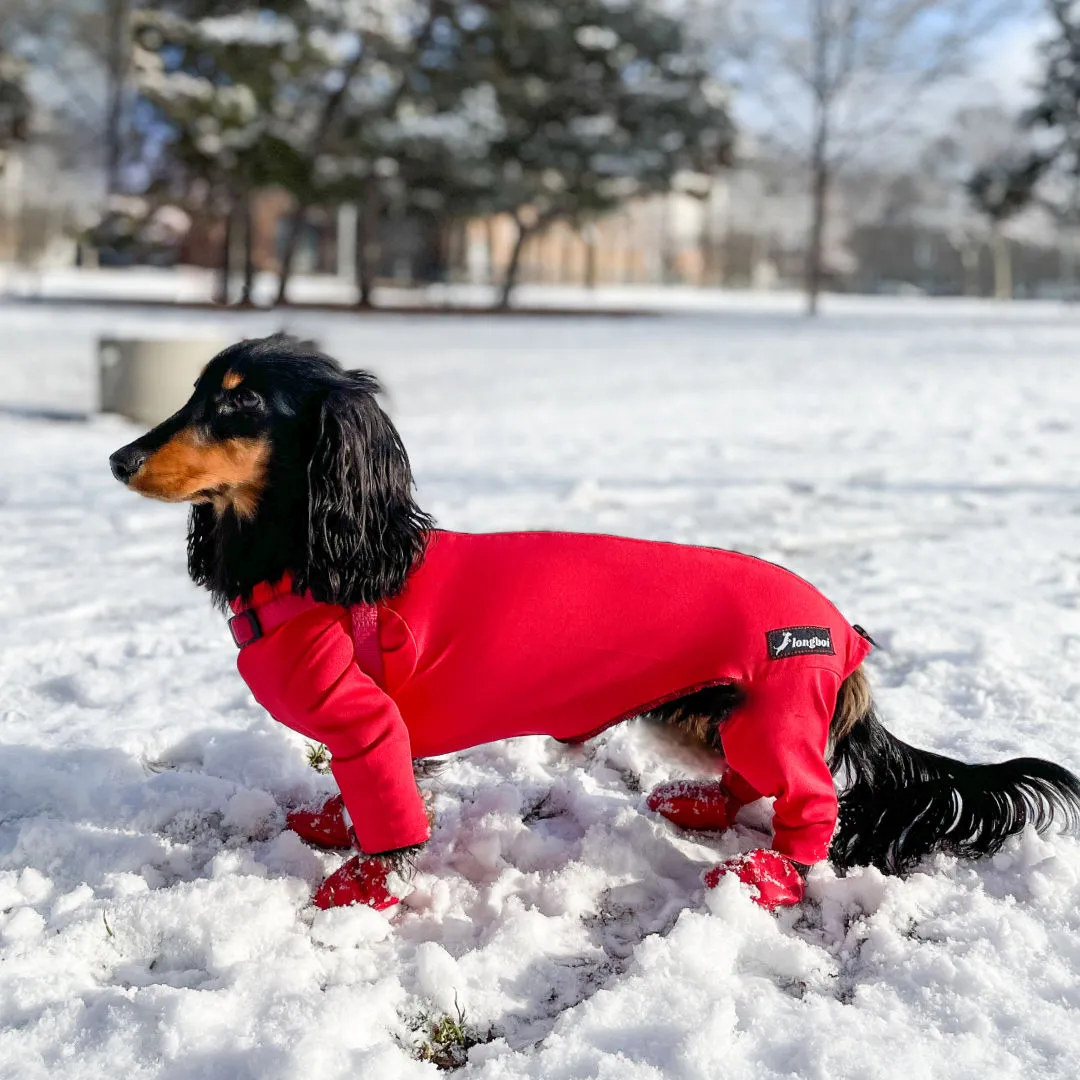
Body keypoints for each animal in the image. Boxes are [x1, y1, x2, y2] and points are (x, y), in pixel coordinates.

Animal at [107, 334, 1080, 911]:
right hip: (722, 713)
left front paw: (360, 887)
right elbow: (368, 794)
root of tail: (840, 633)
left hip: (773, 711)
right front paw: (333, 826)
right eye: (193, 390)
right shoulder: (374, 735)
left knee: (816, 801)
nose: (117, 457)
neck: (321, 566)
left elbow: (390, 813)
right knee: (752, 778)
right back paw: (701, 804)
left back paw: (763, 876)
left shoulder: (368, 721)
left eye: (239, 403)